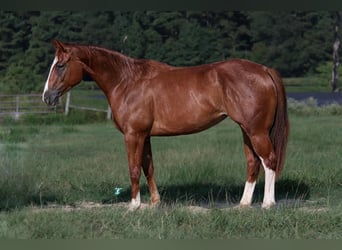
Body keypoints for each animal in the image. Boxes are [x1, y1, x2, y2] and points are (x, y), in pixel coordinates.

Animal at [42, 40, 288, 210]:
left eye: (61, 65)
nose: (47, 97)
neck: (127, 81)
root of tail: (264, 70)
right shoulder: (145, 136)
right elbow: (148, 167)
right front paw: (154, 202)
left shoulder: (133, 135)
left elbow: (133, 168)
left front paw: (134, 205)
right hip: (247, 131)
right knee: (253, 163)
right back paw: (244, 204)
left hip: (257, 132)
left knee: (269, 160)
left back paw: (268, 203)